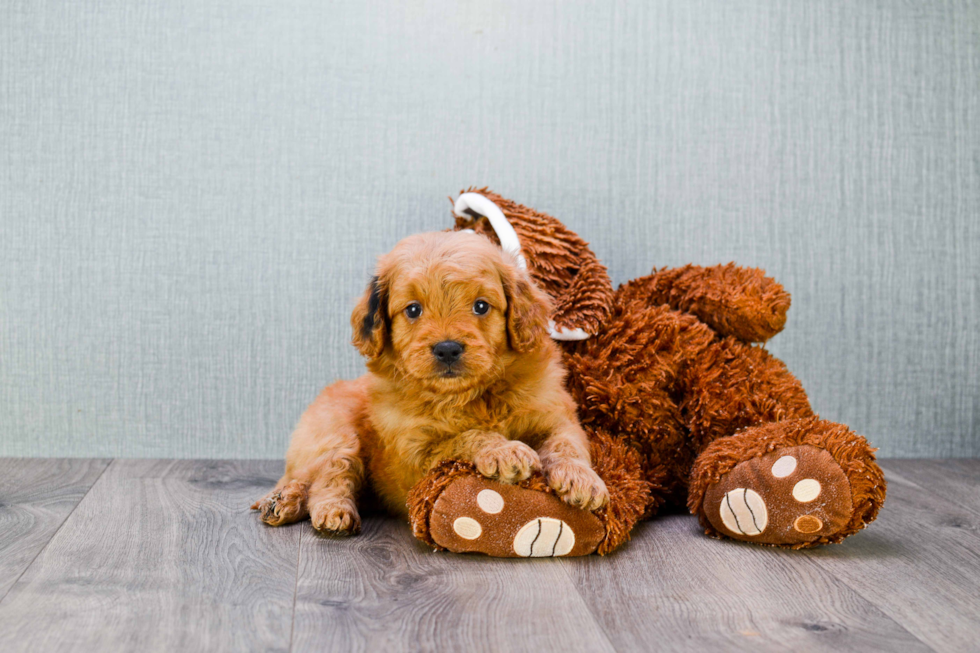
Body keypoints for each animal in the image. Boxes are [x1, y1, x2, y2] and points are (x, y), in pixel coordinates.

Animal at [253, 232, 604, 532]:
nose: (447, 348)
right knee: (328, 476)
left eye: (481, 306)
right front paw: (505, 451)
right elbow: (467, 436)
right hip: (334, 434)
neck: (470, 395)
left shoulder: (556, 415)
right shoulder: (416, 455)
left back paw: (283, 502)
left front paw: (583, 479)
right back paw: (320, 508)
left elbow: (566, 443)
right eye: (412, 310)